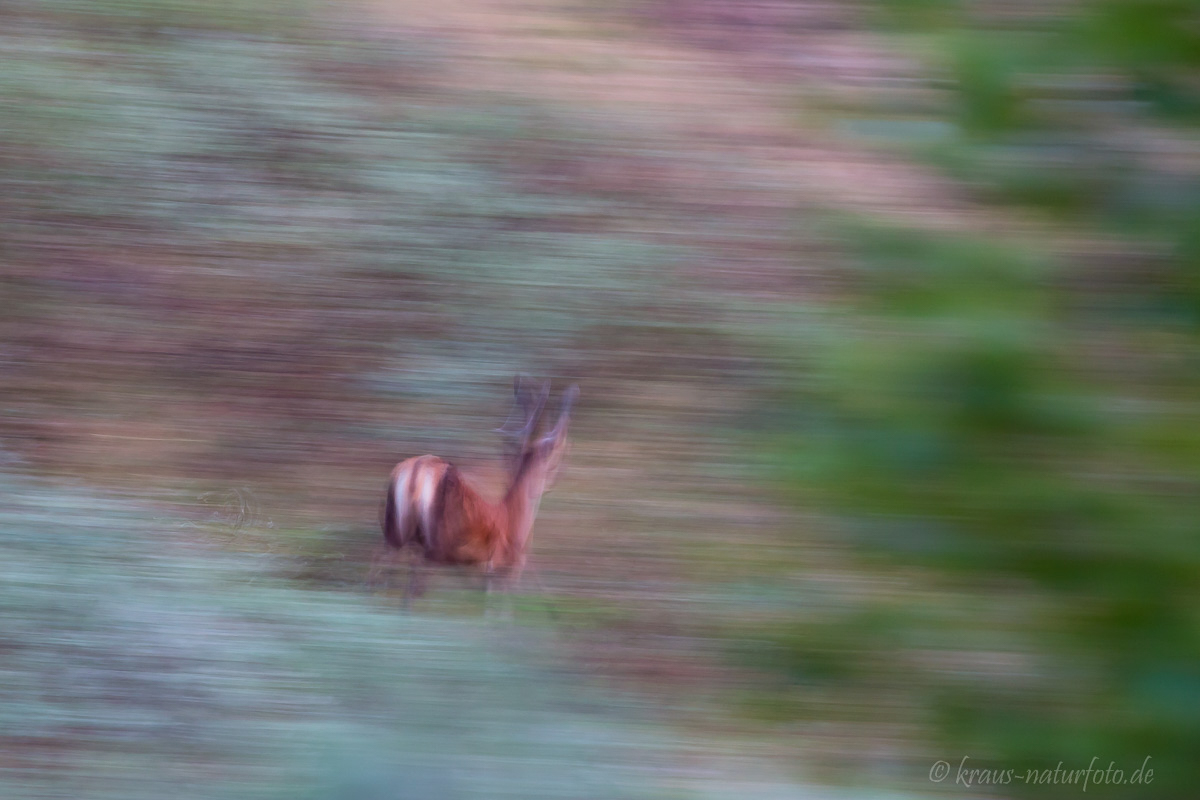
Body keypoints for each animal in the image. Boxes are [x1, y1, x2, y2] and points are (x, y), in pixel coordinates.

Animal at [376, 379, 578, 597]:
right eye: (557, 456)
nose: (554, 480)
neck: (514, 518)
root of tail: (417, 470)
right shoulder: (500, 568)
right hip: (437, 541)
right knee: (413, 581)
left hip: (393, 530)